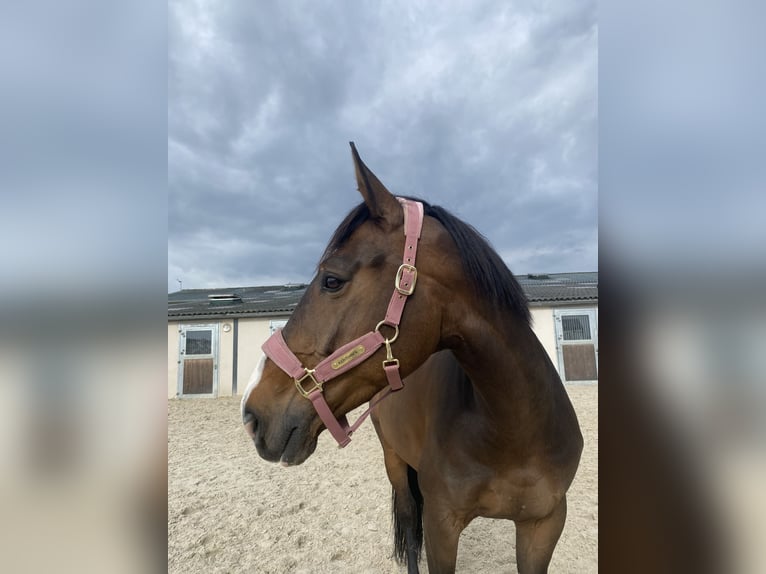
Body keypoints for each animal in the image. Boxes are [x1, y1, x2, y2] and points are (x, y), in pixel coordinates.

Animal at [241, 143, 583, 573]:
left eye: (332, 280)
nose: (251, 414)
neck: (514, 430)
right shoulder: (441, 525)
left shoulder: (544, 524)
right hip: (394, 459)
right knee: (406, 518)